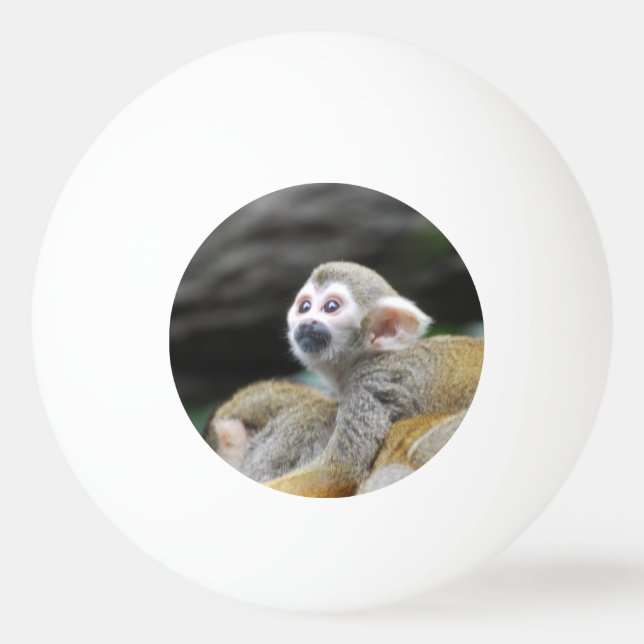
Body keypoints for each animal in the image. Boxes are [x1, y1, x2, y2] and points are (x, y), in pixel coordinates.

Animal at [262, 261, 483, 497]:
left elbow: (338, 471)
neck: (363, 358)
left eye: (331, 307)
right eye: (305, 307)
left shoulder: (366, 386)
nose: (306, 322)